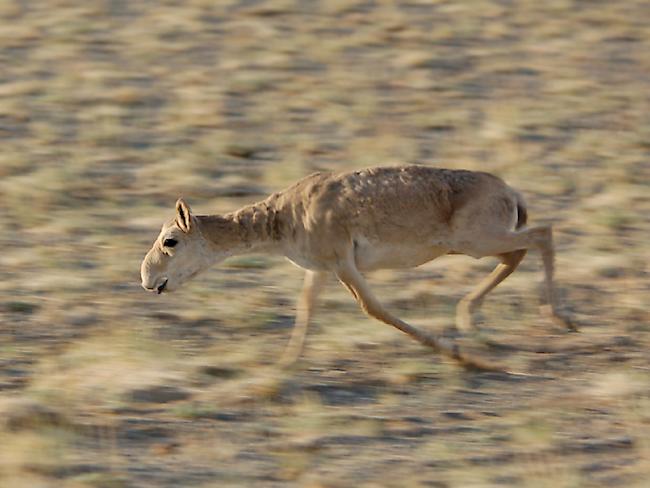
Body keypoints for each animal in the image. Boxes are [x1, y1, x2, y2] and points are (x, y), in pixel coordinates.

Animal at [142, 165, 572, 370]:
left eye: (170, 241)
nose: (147, 279)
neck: (284, 216)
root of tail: (509, 191)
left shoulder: (342, 264)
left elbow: (374, 308)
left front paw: (459, 355)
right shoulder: (318, 270)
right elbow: (305, 309)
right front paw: (285, 364)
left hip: (476, 241)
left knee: (543, 235)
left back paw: (558, 318)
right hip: (479, 243)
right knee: (519, 253)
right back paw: (470, 316)